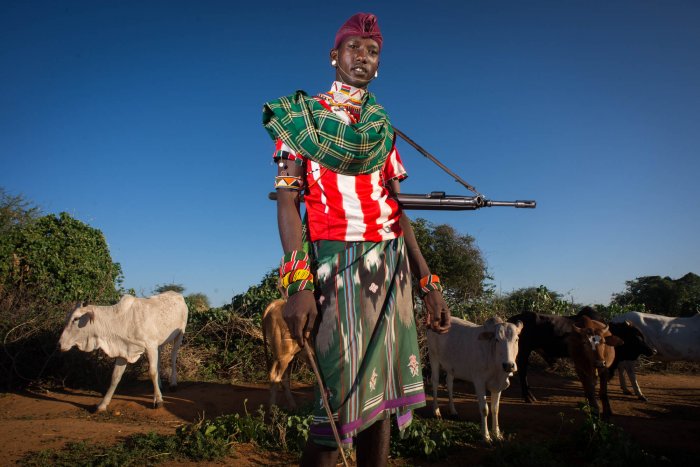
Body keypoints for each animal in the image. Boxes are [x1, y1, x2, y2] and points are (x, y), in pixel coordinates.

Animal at [59, 292, 189, 414]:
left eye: (76, 319)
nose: (60, 344)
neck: (122, 321)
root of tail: (177, 295)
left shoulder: (150, 346)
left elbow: (152, 372)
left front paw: (158, 400)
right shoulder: (124, 351)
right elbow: (115, 377)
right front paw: (102, 405)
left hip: (179, 334)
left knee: (173, 357)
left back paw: (173, 383)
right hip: (160, 343)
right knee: (159, 360)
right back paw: (160, 385)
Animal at [424, 314, 524, 442]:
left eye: (517, 339)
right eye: (497, 340)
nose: (508, 365)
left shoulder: (498, 386)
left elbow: (495, 409)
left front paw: (497, 434)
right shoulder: (479, 382)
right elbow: (484, 409)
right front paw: (486, 436)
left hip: (451, 367)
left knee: (449, 383)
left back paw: (453, 411)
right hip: (434, 357)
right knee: (435, 382)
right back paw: (436, 411)